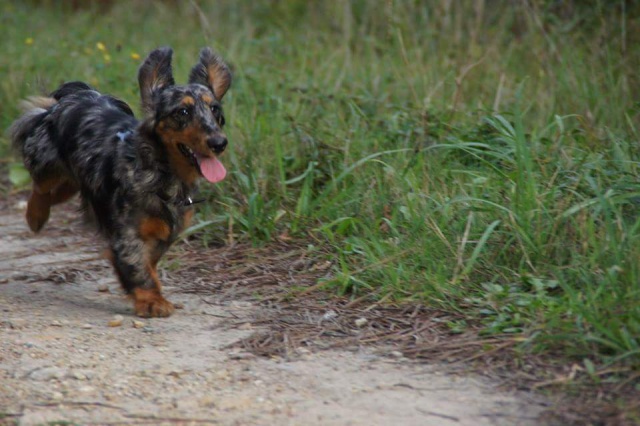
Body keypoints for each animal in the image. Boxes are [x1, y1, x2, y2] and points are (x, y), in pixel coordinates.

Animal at [10, 48, 232, 318]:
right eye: (182, 112)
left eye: (215, 110)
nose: (219, 143)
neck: (161, 174)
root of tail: (78, 95)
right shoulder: (127, 233)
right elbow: (138, 266)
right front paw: (152, 300)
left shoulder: (162, 235)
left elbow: (149, 263)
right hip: (46, 162)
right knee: (40, 187)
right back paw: (36, 216)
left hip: (73, 180)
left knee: (60, 190)